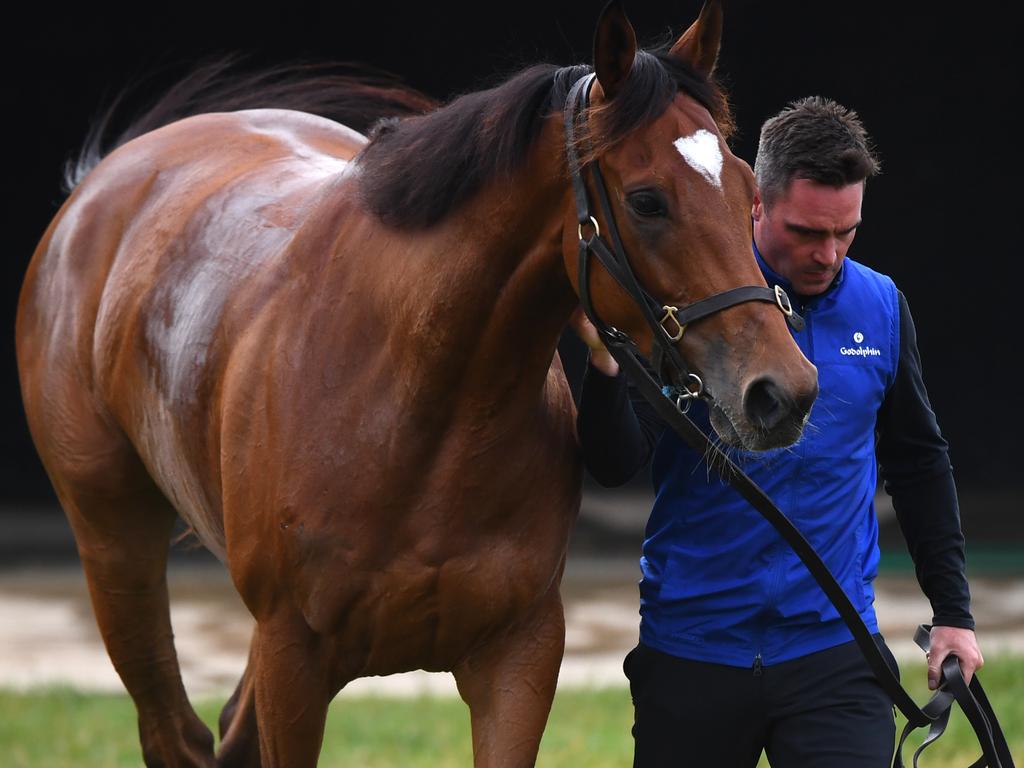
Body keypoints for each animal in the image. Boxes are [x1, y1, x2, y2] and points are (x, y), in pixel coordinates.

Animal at [14, 3, 815, 765]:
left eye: (747, 186)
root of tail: (102, 179)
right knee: (174, 734)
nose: (783, 391)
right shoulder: (292, 661)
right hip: (115, 543)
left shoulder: (518, 657)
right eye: (648, 200)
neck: (413, 408)